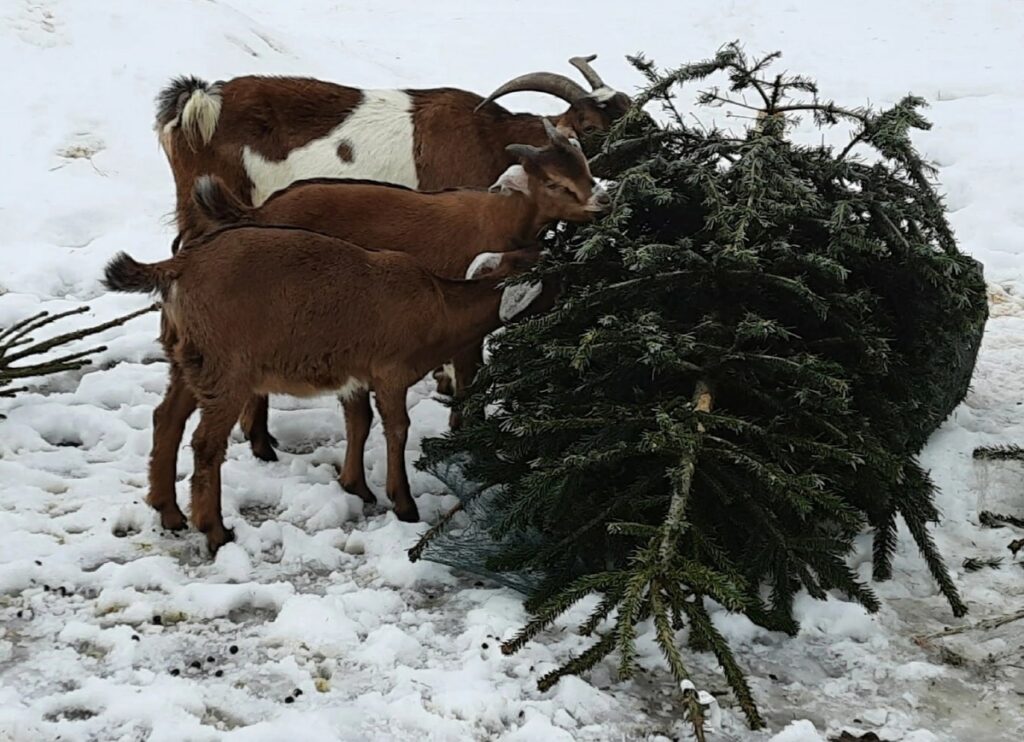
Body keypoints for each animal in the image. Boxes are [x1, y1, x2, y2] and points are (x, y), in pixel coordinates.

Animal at [101, 226, 552, 556]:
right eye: (553, 276)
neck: (439, 306)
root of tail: (179, 267)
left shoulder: (354, 374)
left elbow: (359, 421)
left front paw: (356, 486)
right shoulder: (390, 370)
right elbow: (396, 428)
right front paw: (404, 505)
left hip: (187, 359)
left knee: (167, 419)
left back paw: (169, 512)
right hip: (227, 366)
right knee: (205, 443)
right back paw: (215, 531)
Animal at [180, 118, 602, 460]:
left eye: (586, 170)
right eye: (553, 182)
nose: (602, 201)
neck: (499, 217)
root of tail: (259, 212)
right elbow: (469, 377)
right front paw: (463, 432)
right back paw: (262, 444)